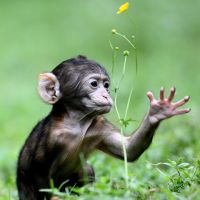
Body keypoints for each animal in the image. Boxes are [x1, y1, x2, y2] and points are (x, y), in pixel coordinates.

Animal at [16, 55, 190, 200]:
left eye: (106, 85)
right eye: (94, 84)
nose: (106, 94)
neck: (76, 124)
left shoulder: (99, 126)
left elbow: (128, 150)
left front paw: (159, 111)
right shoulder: (52, 137)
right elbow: (38, 171)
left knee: (86, 169)